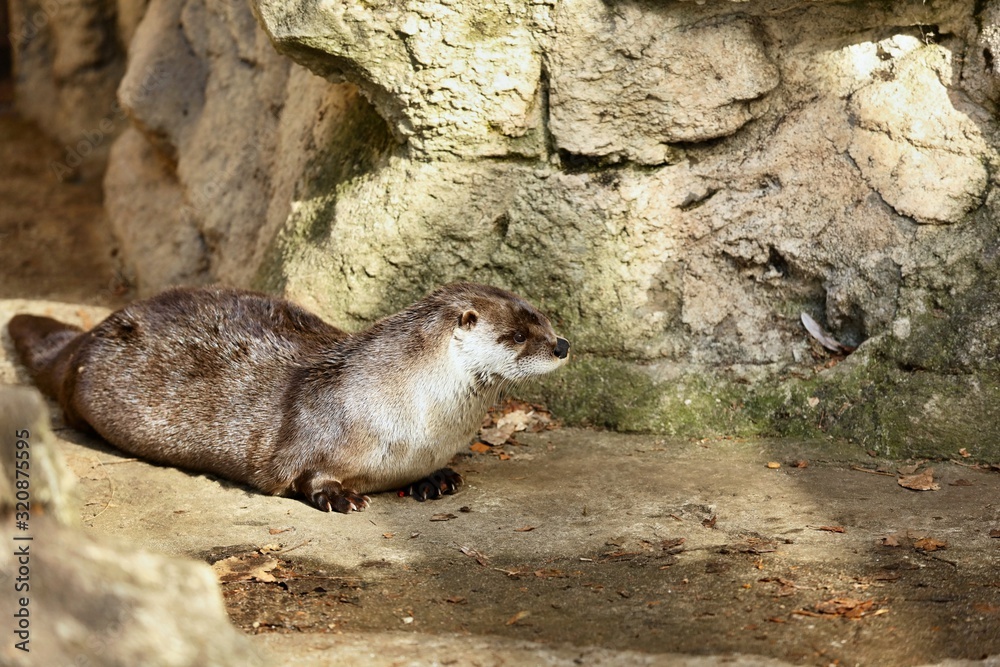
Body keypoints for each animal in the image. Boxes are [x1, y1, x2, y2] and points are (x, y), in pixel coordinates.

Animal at [7, 283, 570, 512]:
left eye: (543, 317)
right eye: (517, 336)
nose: (562, 344)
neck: (419, 419)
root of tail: (87, 338)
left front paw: (437, 478)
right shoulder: (315, 430)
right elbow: (304, 475)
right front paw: (340, 496)